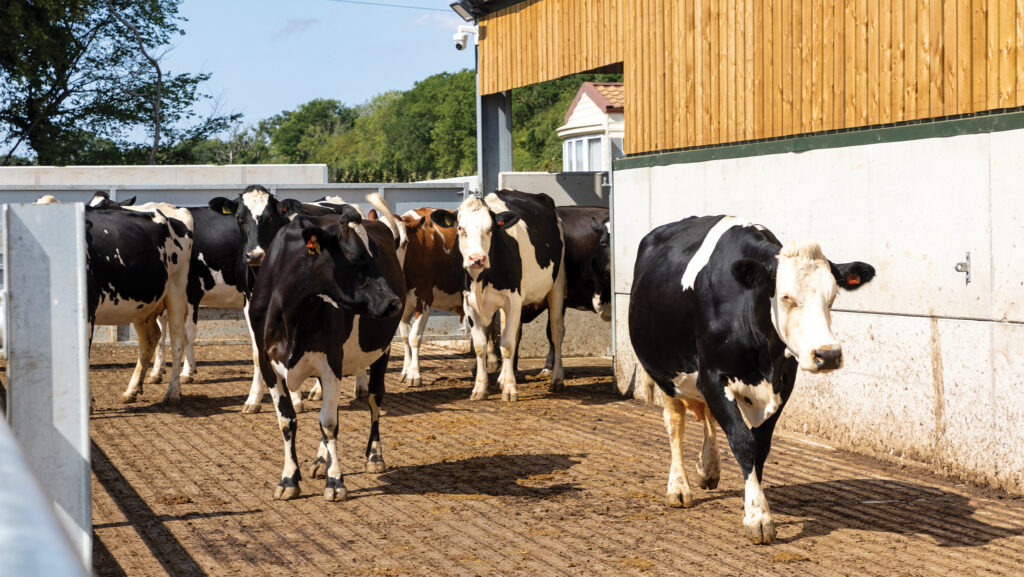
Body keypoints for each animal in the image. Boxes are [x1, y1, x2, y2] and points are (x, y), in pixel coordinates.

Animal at [85, 201, 194, 404]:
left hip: (176, 290)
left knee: (177, 340)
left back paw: (173, 392)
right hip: (143, 307)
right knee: (150, 339)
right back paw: (132, 390)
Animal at [246, 209, 404, 501]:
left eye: (375, 254)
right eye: (358, 256)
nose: (394, 302)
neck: (291, 311)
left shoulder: (332, 362)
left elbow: (329, 423)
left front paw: (336, 481)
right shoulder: (268, 364)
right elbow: (287, 422)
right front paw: (289, 478)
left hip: (381, 351)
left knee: (375, 399)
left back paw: (374, 456)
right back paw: (321, 461)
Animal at [428, 190, 566, 401]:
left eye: (490, 228)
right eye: (460, 228)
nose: (477, 258)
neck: (480, 279)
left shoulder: (514, 300)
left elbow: (507, 344)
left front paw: (510, 389)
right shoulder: (469, 303)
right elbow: (480, 345)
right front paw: (480, 387)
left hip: (557, 284)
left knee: (556, 332)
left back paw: (557, 379)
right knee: (513, 331)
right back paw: (501, 378)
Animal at [628, 215, 875, 544]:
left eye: (832, 297)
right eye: (786, 297)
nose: (829, 355)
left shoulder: (783, 382)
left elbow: (760, 447)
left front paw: (752, 501)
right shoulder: (712, 377)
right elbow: (743, 442)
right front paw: (758, 517)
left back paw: (709, 468)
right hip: (665, 372)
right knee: (675, 424)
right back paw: (679, 487)